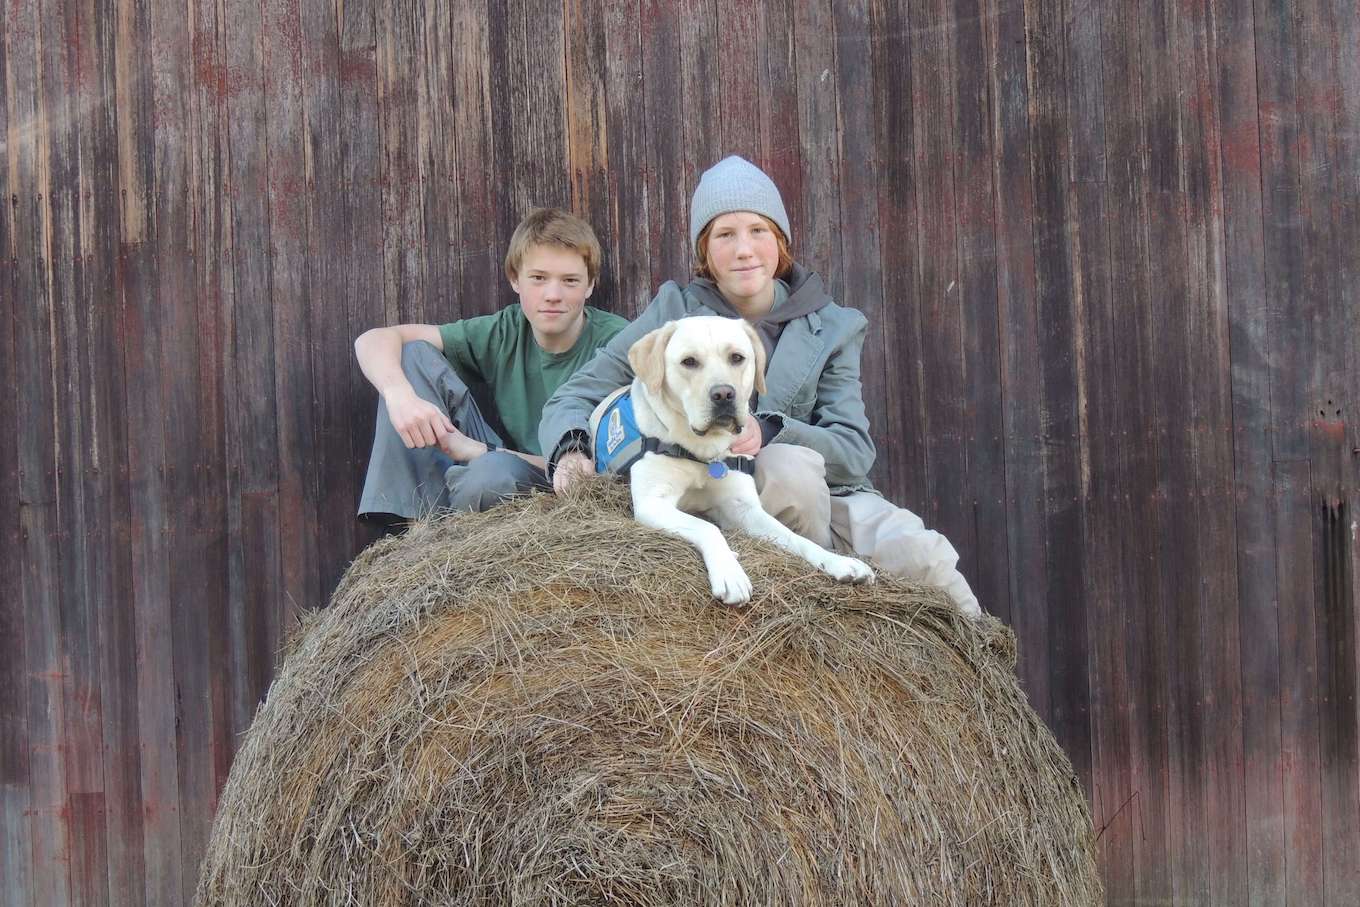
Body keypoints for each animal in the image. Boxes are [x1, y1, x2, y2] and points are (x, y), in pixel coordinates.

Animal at [590, 315, 875, 606]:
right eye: (689, 361)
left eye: (737, 358)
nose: (724, 394)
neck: (704, 451)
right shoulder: (652, 504)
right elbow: (706, 527)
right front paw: (730, 573)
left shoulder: (745, 508)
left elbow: (796, 538)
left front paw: (837, 561)